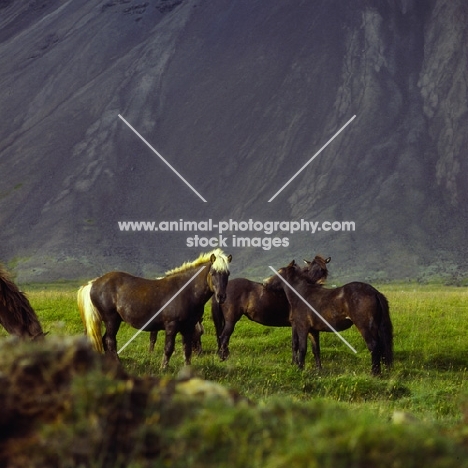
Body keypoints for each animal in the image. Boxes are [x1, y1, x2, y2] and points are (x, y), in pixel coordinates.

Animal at [78, 249, 232, 370]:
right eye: (213, 273)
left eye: (227, 274)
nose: (221, 297)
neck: (185, 291)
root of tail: (94, 283)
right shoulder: (171, 325)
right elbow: (169, 348)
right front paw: (163, 367)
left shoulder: (188, 327)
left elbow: (186, 350)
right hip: (111, 320)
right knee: (109, 341)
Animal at [266, 260, 394, 376]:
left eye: (279, 272)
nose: (266, 283)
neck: (301, 294)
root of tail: (375, 292)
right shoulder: (313, 331)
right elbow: (316, 350)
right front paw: (319, 370)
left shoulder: (302, 327)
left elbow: (302, 348)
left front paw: (300, 368)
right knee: (381, 347)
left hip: (365, 327)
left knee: (374, 346)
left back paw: (374, 373)